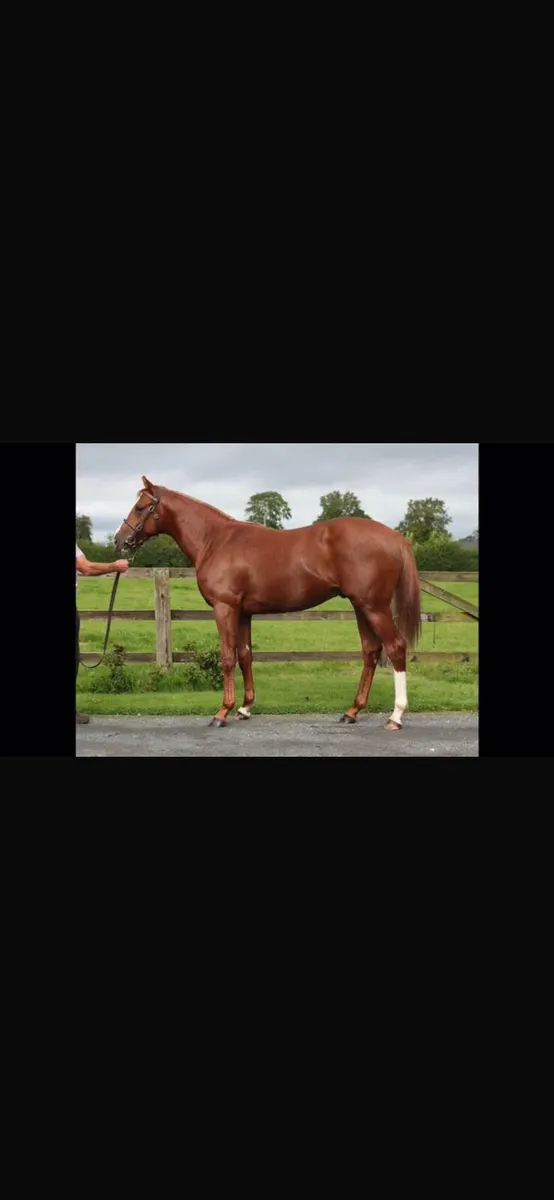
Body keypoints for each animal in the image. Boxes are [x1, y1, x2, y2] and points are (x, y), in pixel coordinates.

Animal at [114, 477, 421, 731]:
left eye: (141, 507)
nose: (120, 541)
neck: (215, 540)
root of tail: (395, 537)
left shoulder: (225, 608)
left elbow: (227, 657)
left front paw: (222, 713)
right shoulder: (243, 613)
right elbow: (245, 655)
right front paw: (244, 708)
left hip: (374, 607)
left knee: (395, 647)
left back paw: (395, 716)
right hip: (361, 606)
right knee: (370, 651)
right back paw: (352, 712)